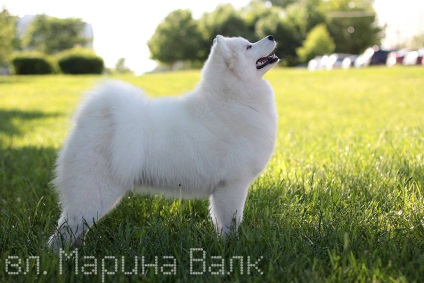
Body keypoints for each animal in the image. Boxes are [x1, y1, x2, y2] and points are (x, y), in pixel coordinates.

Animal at [47, 34, 278, 250]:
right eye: (249, 47)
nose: (271, 36)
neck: (232, 99)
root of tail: (97, 117)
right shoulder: (233, 184)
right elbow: (231, 221)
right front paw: (232, 245)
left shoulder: (224, 188)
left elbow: (220, 221)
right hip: (95, 191)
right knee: (64, 230)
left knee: (77, 228)